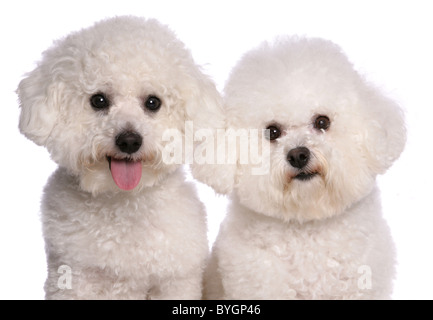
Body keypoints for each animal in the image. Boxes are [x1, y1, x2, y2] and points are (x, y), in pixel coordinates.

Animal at [16, 15, 223, 300]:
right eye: (98, 100)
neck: (122, 204)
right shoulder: (71, 278)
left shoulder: (174, 281)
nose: (129, 141)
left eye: (153, 102)